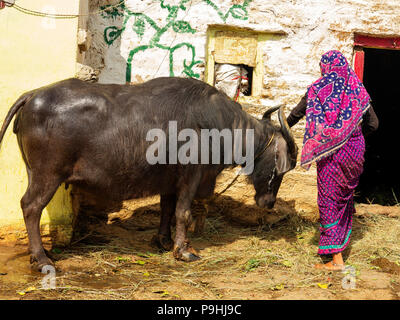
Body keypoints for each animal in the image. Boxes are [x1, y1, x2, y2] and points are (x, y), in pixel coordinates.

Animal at [0, 77, 296, 270]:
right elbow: (183, 212)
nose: (269, 202)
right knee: (31, 207)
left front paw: (163, 241)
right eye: (281, 169)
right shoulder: (191, 176)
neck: (219, 126)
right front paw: (184, 251)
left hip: (34, 172)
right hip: (47, 175)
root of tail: (32, 95)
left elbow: (167, 210)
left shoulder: (169, 181)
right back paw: (41, 259)